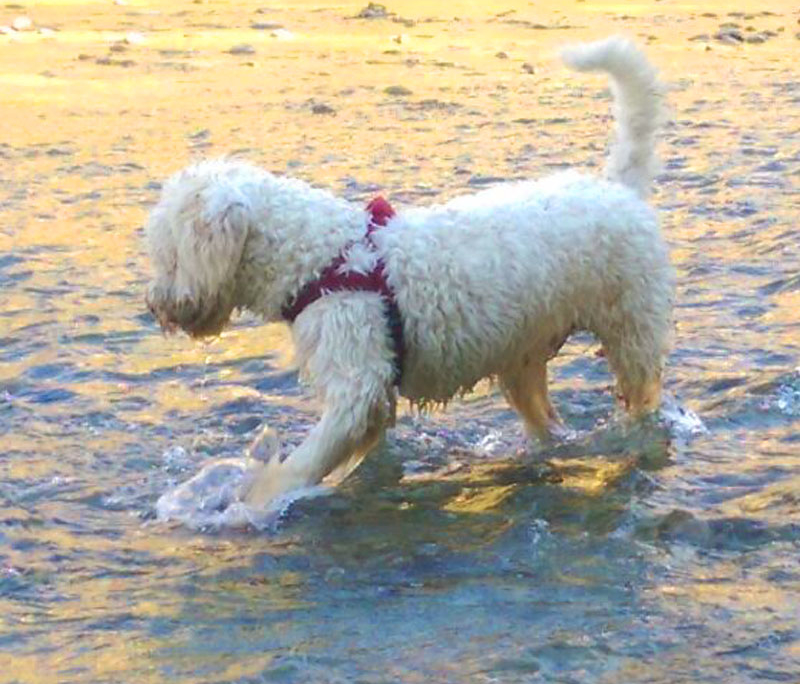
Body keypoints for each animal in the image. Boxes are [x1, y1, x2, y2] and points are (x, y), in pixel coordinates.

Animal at [145, 36, 676, 508]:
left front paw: (255, 499)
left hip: (631, 329)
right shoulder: (373, 391)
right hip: (523, 358)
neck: (321, 260)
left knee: (643, 395)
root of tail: (618, 189)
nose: (155, 306)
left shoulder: (357, 382)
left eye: (168, 254)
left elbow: (304, 462)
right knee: (545, 417)